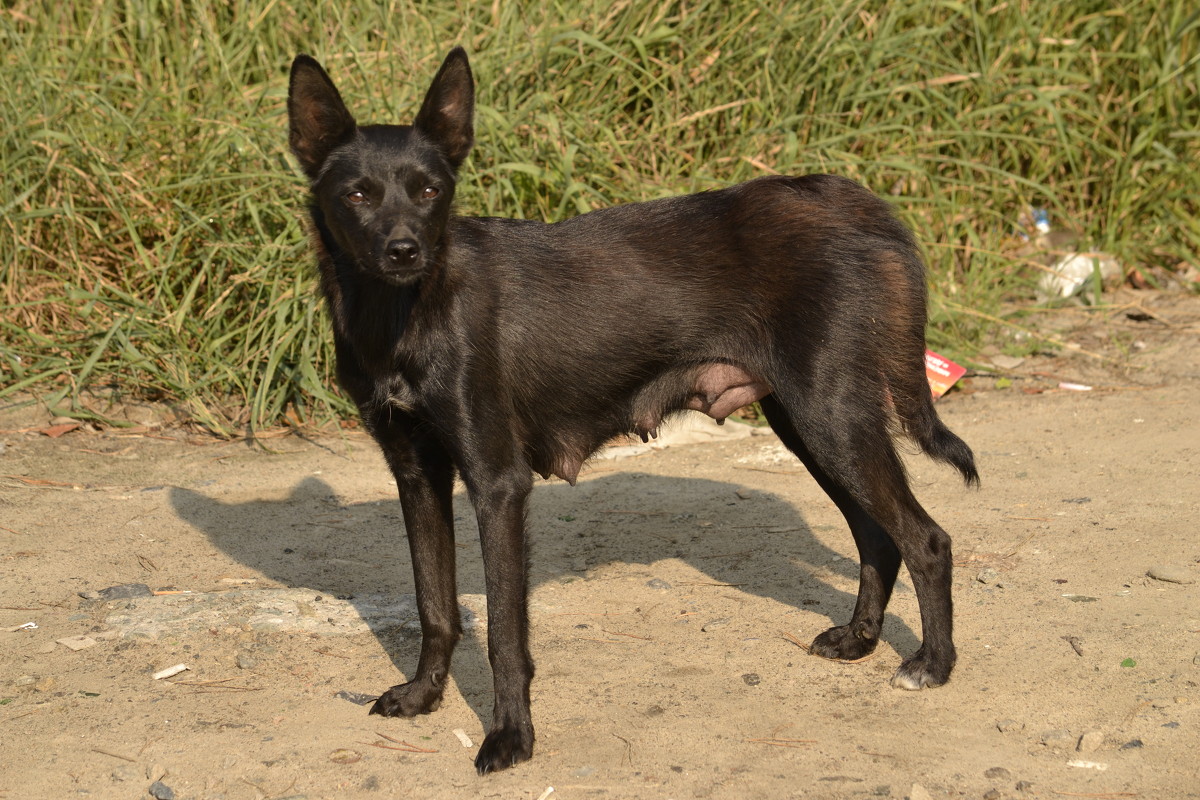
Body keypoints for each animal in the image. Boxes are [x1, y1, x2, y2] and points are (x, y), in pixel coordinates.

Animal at [285, 47, 979, 772]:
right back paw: (860, 640)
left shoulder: (498, 484)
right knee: (879, 536)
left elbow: (504, 631)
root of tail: (853, 201)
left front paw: (511, 737)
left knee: (927, 539)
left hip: (831, 417)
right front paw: (423, 697)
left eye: (430, 191)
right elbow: (434, 605)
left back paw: (932, 664)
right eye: (357, 194)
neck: (404, 311)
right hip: (812, 426)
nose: (404, 250)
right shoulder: (417, 475)